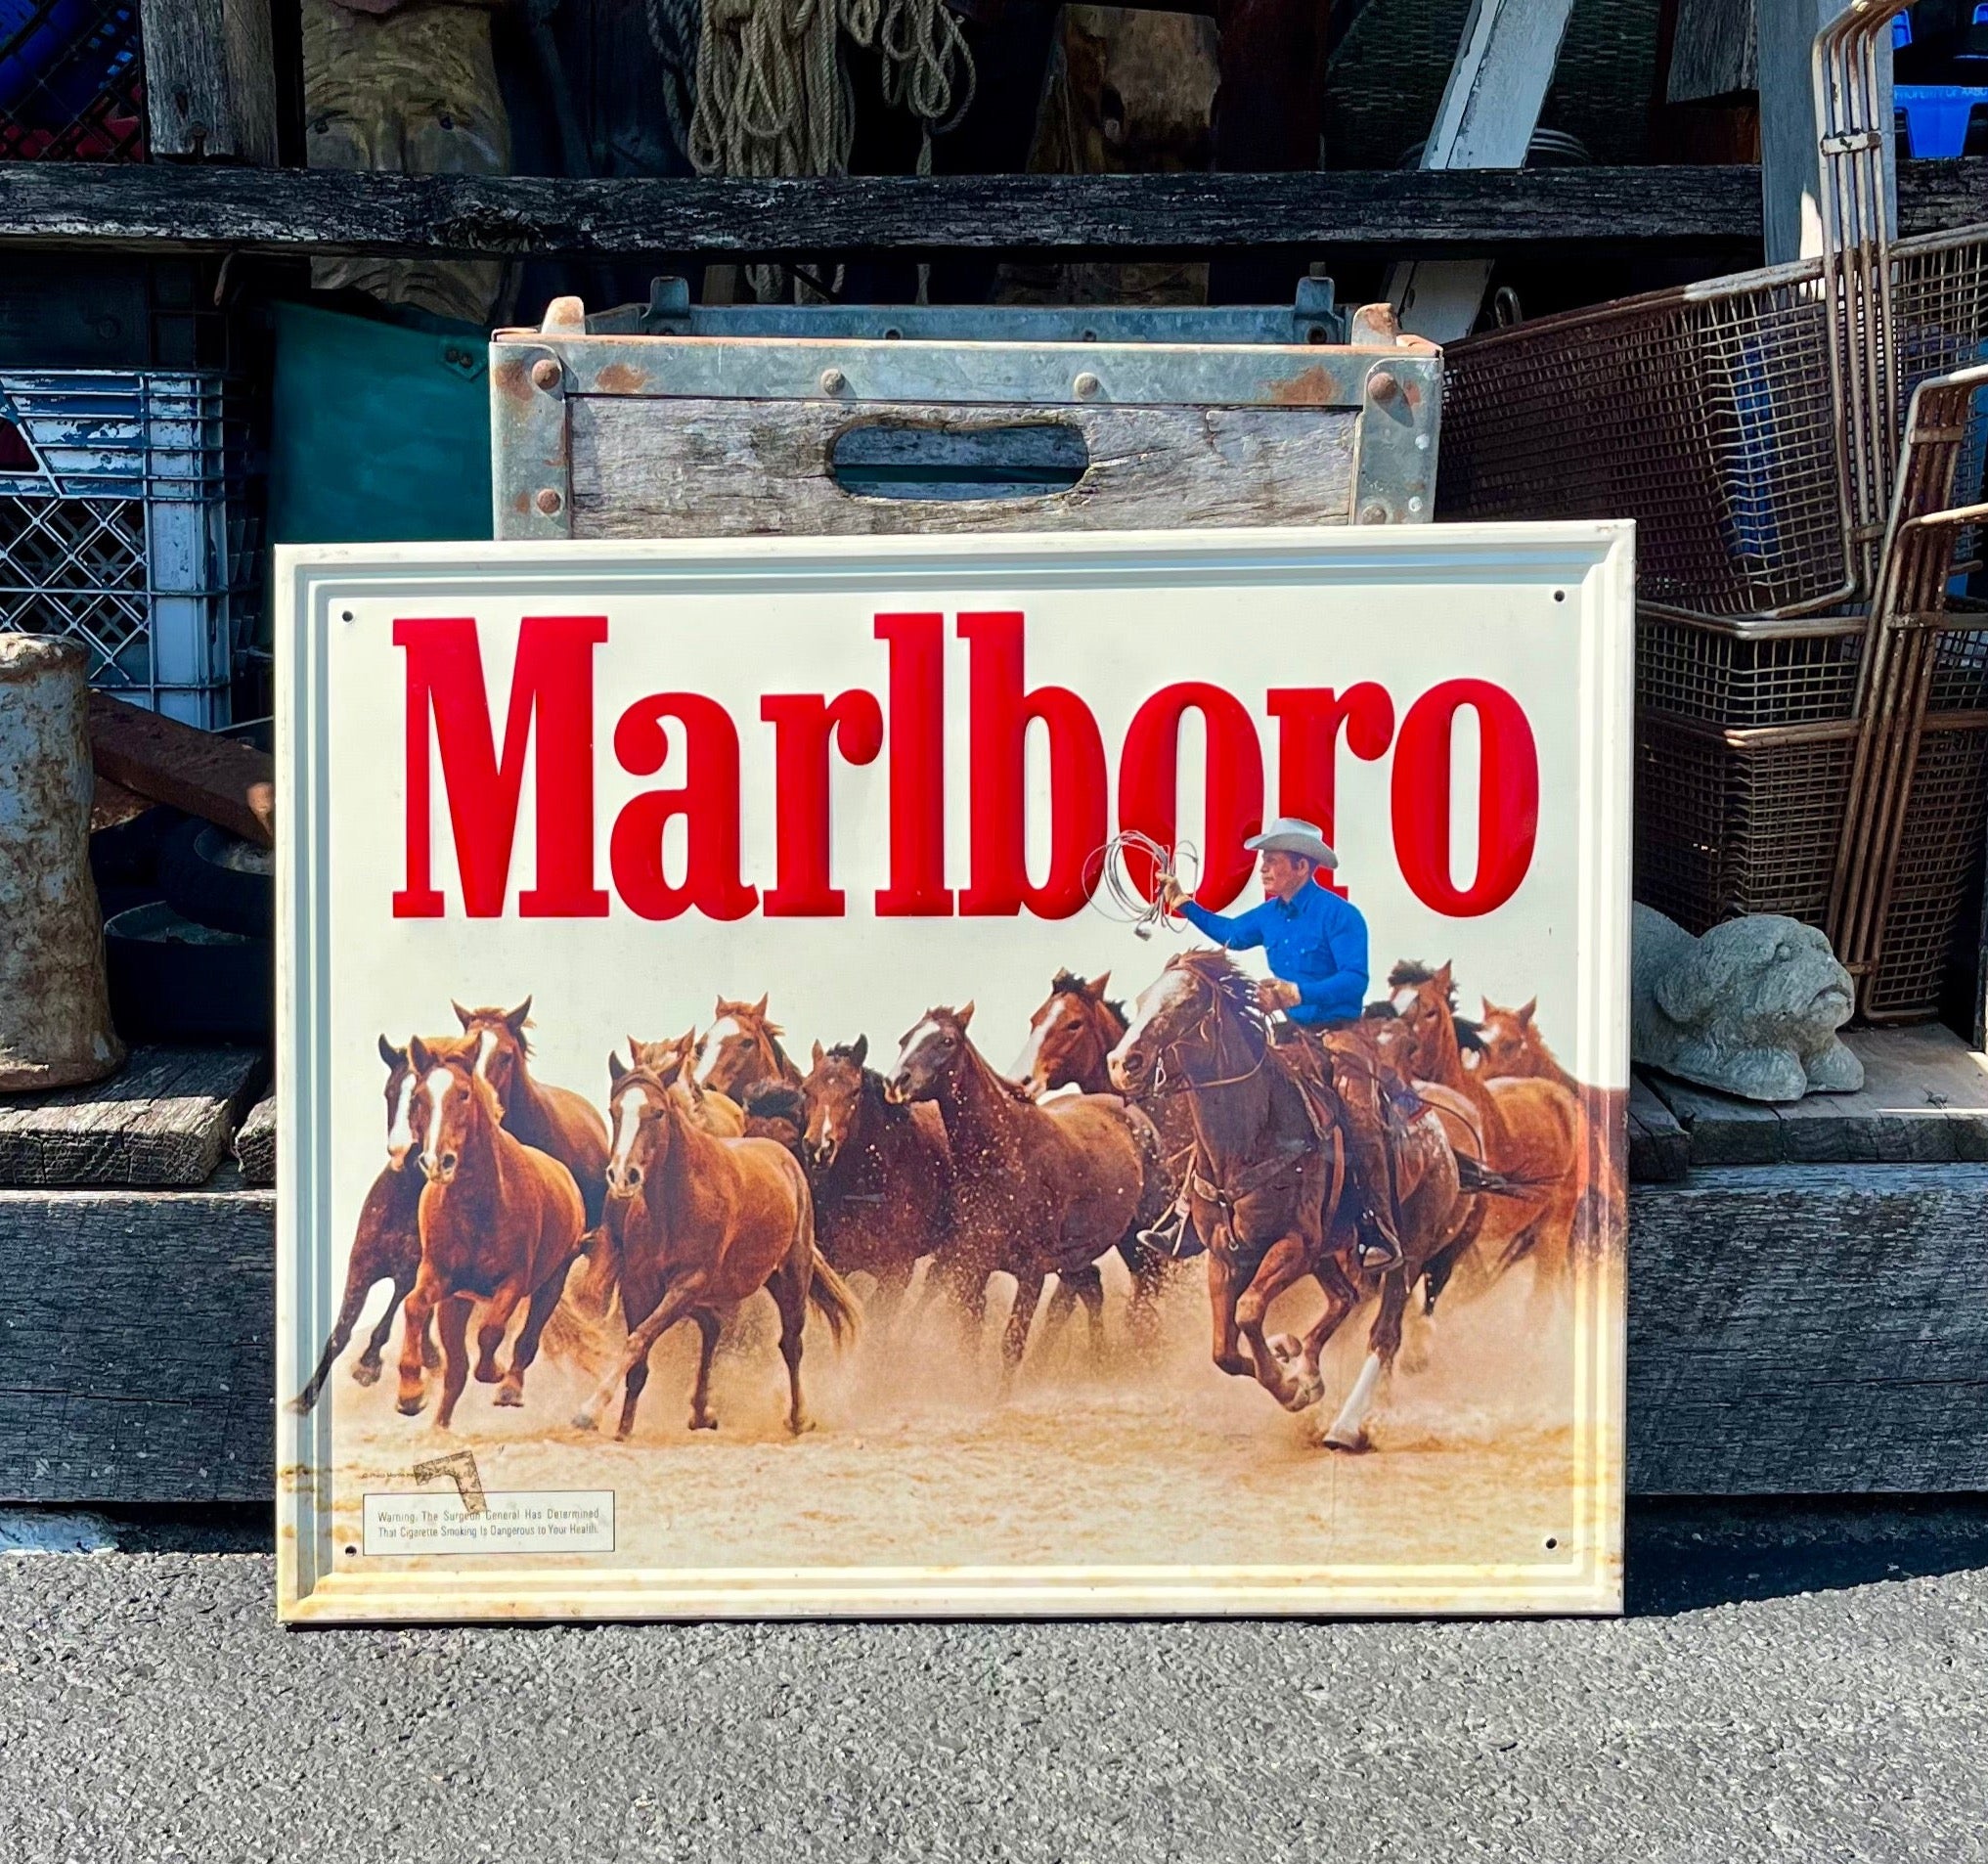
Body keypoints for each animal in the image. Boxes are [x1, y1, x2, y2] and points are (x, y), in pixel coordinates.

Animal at [286, 1033, 437, 1406]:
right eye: (389, 1092)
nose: (402, 1152)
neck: (401, 1203)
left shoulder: (408, 1275)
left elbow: (389, 1320)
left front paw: (368, 1365)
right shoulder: (361, 1266)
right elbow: (340, 1332)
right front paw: (303, 1399)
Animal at [397, 1041, 584, 1414]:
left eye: (464, 1093)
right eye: (418, 1097)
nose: (437, 1162)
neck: (478, 1209)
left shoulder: (514, 1281)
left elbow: (491, 1330)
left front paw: (494, 1371)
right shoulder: (438, 1276)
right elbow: (413, 1307)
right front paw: (409, 1392)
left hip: (552, 1282)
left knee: (526, 1339)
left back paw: (510, 1387)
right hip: (457, 1302)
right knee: (455, 1372)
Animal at [572, 1057, 859, 1431]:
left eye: (658, 1112)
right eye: (614, 1110)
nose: (623, 1176)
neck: (676, 1203)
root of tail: (786, 1161)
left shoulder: (689, 1281)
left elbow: (638, 1340)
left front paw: (589, 1411)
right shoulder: (640, 1285)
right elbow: (639, 1358)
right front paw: (622, 1429)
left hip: (790, 1276)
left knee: (791, 1343)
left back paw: (798, 1417)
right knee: (713, 1326)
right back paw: (700, 1411)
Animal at [882, 1001, 1161, 1383]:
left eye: (946, 1041)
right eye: (904, 1039)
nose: (896, 1082)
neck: (1007, 1156)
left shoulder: (1031, 1272)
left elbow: (1011, 1345)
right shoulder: (972, 1265)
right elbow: (968, 1337)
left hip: (1136, 1242)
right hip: (1077, 1257)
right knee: (1091, 1288)